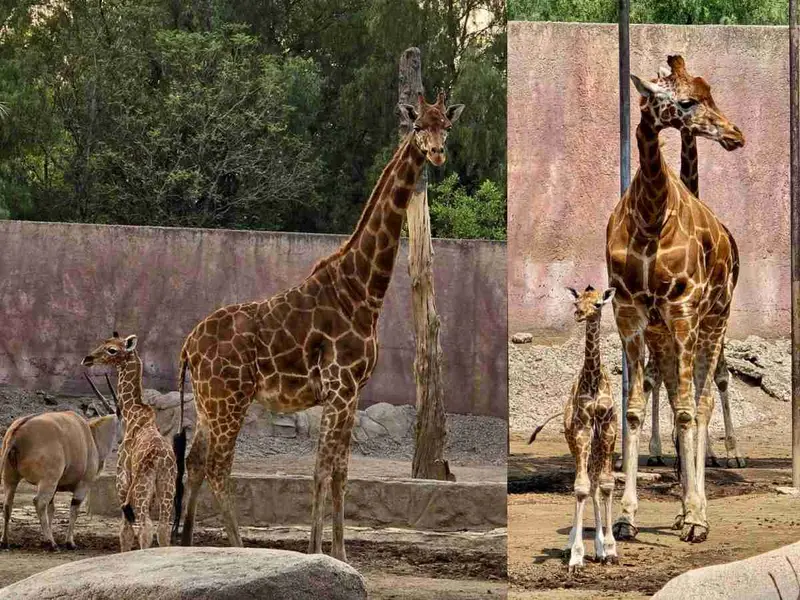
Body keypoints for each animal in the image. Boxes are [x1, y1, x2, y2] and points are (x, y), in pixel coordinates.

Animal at [82, 332, 184, 552]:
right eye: (104, 342)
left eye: (112, 350)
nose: (88, 359)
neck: (132, 414)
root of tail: (161, 459)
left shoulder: (122, 481)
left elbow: (125, 531)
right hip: (167, 487)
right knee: (163, 528)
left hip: (141, 488)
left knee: (145, 526)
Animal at [175, 94, 462, 564]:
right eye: (418, 124)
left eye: (446, 127)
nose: (437, 153)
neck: (362, 291)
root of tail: (187, 347)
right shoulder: (339, 387)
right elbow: (321, 467)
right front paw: (316, 552)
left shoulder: (352, 392)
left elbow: (341, 470)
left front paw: (342, 553)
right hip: (229, 399)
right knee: (218, 467)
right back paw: (240, 549)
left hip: (205, 404)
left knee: (197, 463)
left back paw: (181, 545)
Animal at [640, 57, 748, 468]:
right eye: (689, 102)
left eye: (711, 96)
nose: (734, 135)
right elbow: (659, 378)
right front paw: (662, 448)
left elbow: (717, 377)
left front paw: (728, 451)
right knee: (659, 375)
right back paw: (664, 447)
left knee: (714, 374)